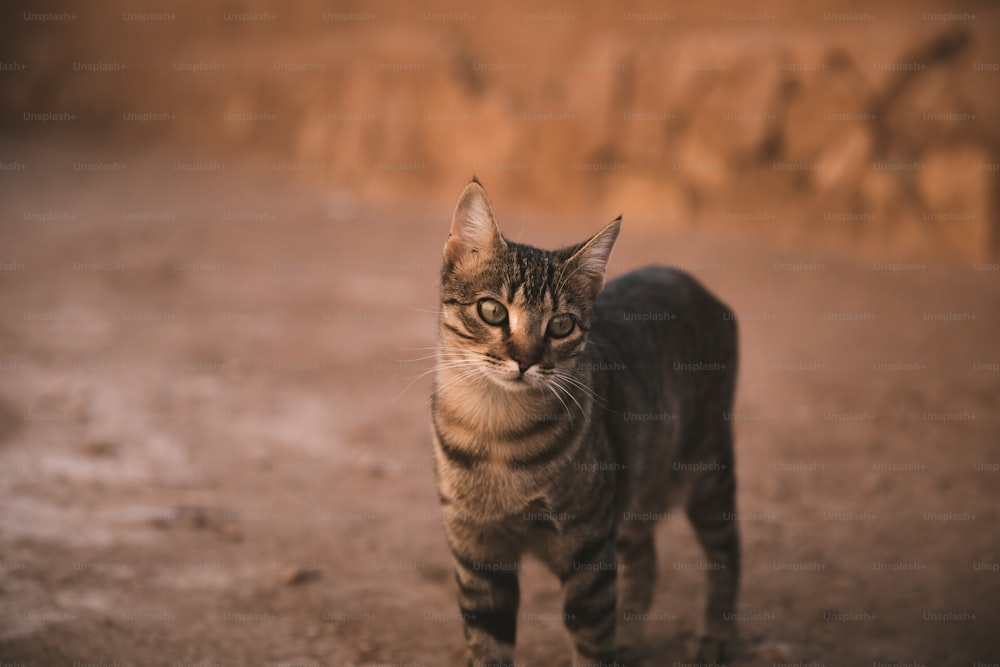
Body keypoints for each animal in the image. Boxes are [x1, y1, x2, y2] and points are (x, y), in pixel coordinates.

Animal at [432, 179, 744, 667]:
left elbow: (593, 643)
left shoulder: (589, 554)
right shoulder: (478, 554)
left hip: (707, 472)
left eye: (561, 324)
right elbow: (487, 646)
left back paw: (714, 635)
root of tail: (689, 278)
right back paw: (630, 644)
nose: (526, 360)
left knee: (727, 553)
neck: (496, 431)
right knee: (646, 560)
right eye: (492, 311)